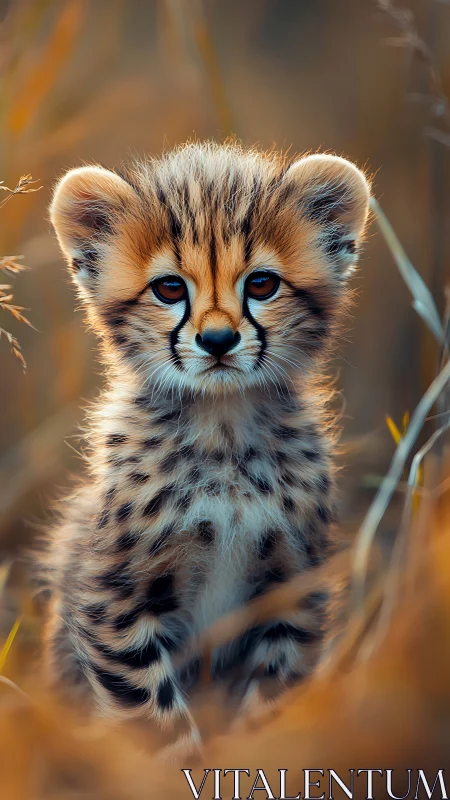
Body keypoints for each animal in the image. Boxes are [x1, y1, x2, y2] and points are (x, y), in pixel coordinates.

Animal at [43, 141, 370, 756]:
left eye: (262, 285)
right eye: (170, 288)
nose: (217, 341)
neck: (223, 434)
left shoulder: (292, 595)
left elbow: (267, 704)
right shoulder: (115, 602)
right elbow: (158, 722)